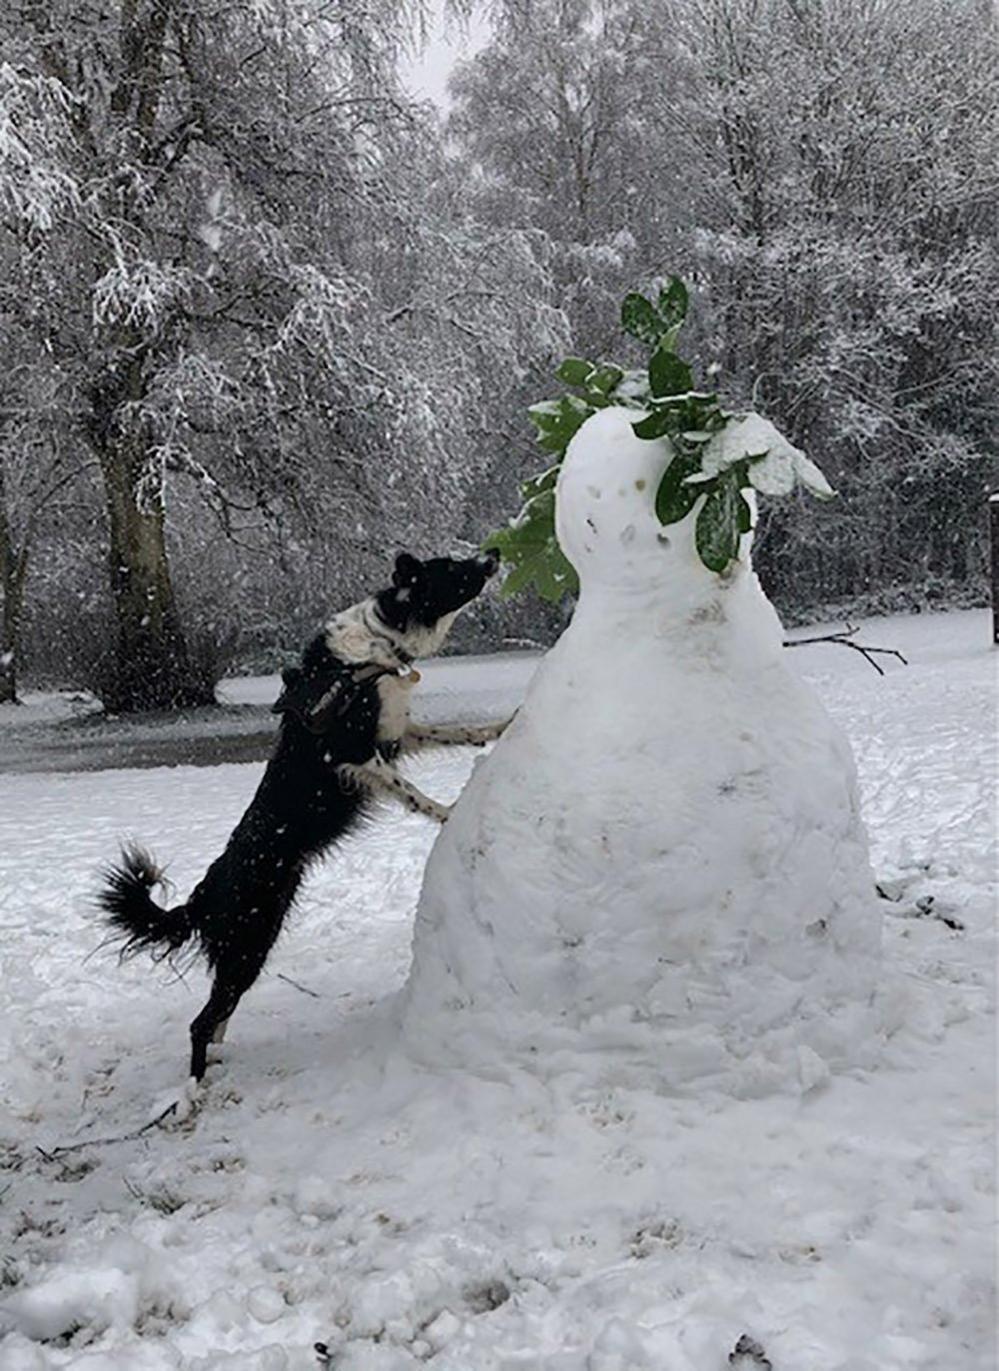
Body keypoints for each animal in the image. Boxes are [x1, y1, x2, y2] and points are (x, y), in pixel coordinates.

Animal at [97, 548, 501, 1080]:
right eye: (454, 568)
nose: (494, 554)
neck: (377, 643)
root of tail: (201, 896)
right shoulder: (354, 753)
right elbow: (412, 794)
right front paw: (450, 812)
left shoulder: (397, 733)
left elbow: (458, 731)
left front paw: (501, 726)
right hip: (248, 944)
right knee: (201, 1022)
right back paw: (195, 1091)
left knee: (217, 1016)